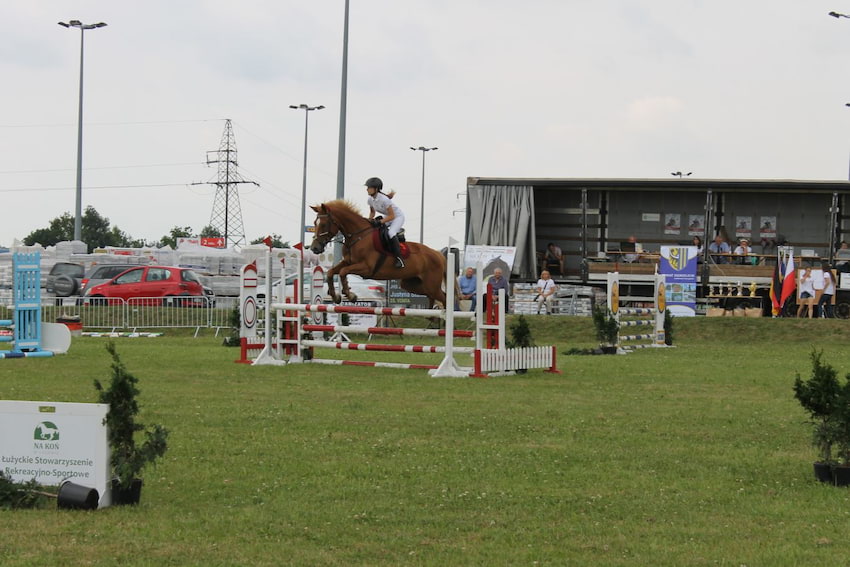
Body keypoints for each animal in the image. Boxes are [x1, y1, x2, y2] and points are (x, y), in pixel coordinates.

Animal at [306, 200, 450, 306]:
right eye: (314, 223)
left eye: (324, 224)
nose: (314, 248)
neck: (358, 236)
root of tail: (438, 254)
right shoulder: (348, 261)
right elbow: (331, 272)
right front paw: (335, 296)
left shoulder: (367, 268)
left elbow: (343, 272)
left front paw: (351, 295)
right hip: (411, 284)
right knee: (432, 296)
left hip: (431, 284)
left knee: (443, 297)